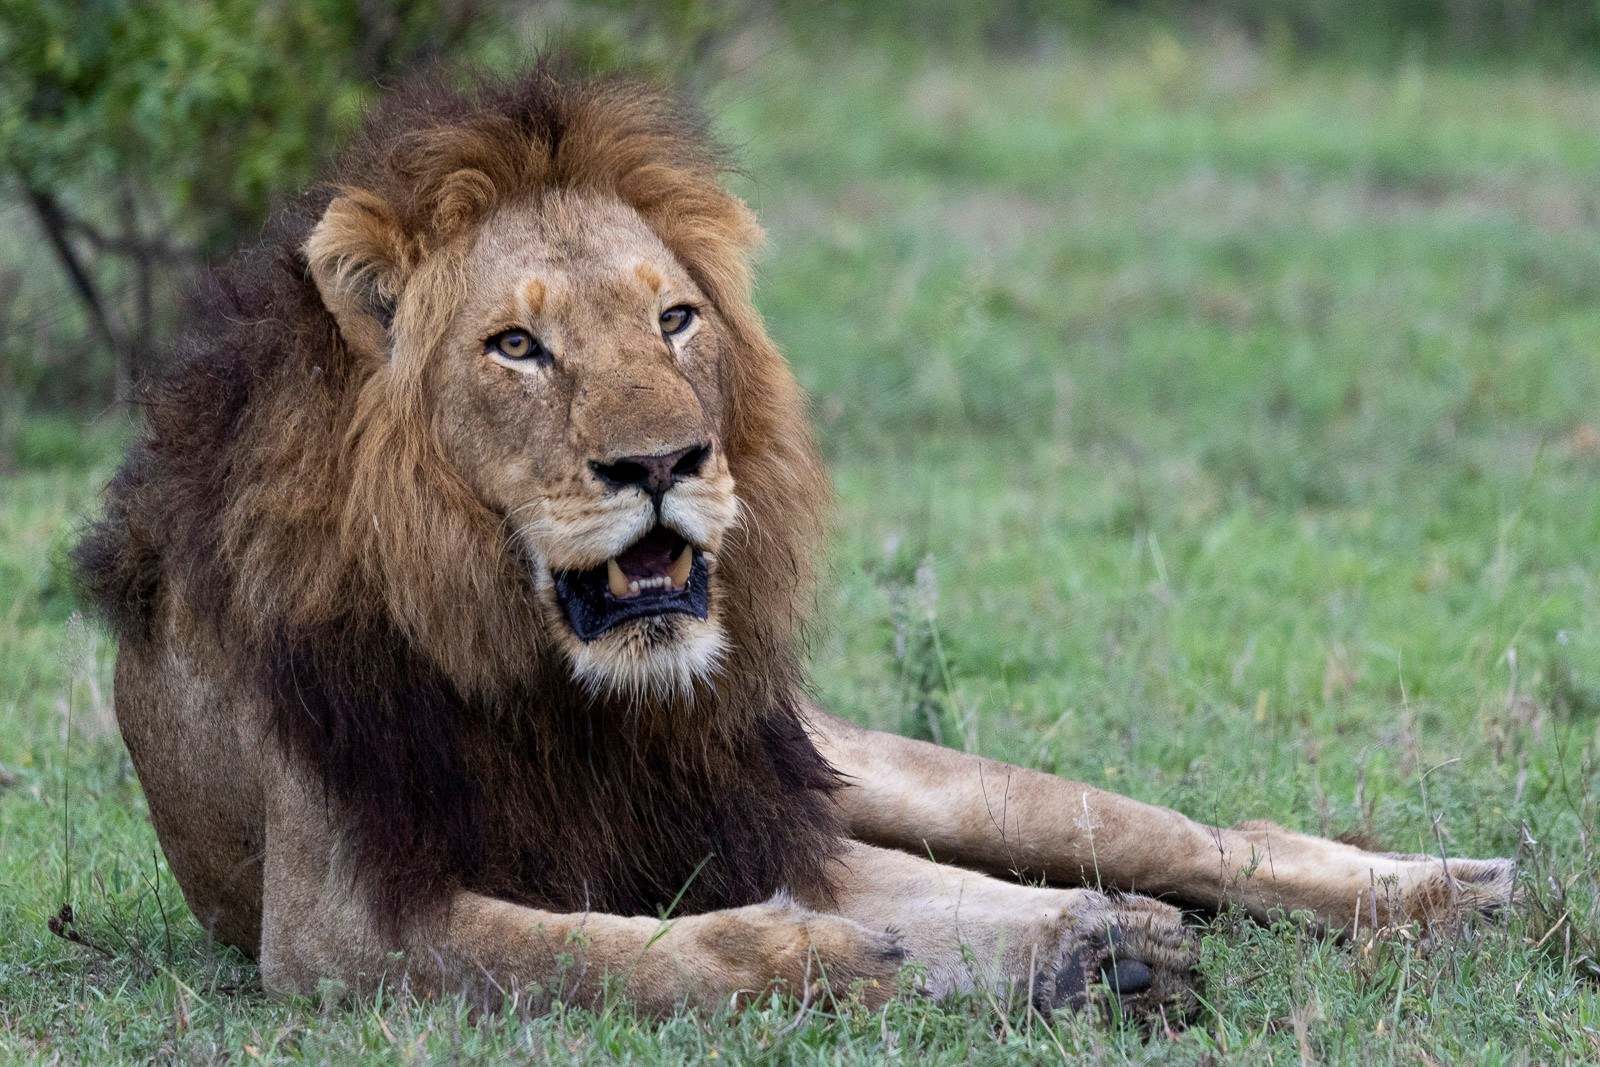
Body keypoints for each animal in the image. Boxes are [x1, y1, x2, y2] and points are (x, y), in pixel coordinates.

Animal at [75, 68, 1516, 1018]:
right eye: (516, 345)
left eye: (673, 319)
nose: (662, 462)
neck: (561, 693)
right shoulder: (336, 927)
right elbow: (591, 950)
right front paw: (968, 957)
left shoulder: (753, 817)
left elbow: (933, 897)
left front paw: (1088, 944)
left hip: (886, 767)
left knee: (1202, 836)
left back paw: (1449, 896)